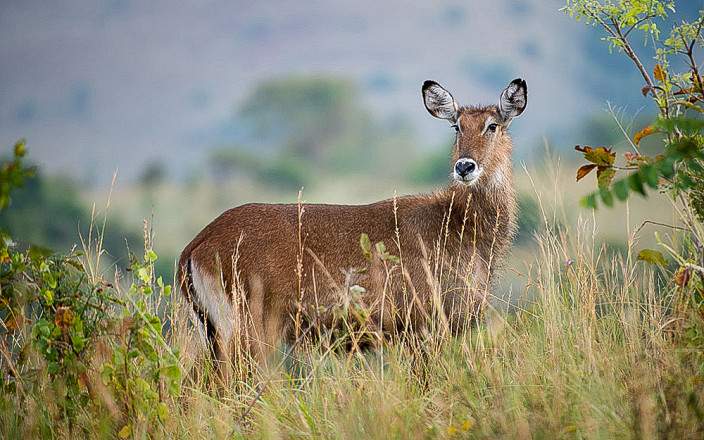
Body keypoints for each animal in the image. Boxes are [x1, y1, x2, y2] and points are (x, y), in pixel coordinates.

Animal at [179, 78, 524, 372]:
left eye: (492, 125)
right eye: (456, 126)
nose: (465, 166)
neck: (459, 225)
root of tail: (196, 245)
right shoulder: (424, 329)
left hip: (216, 334)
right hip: (249, 331)